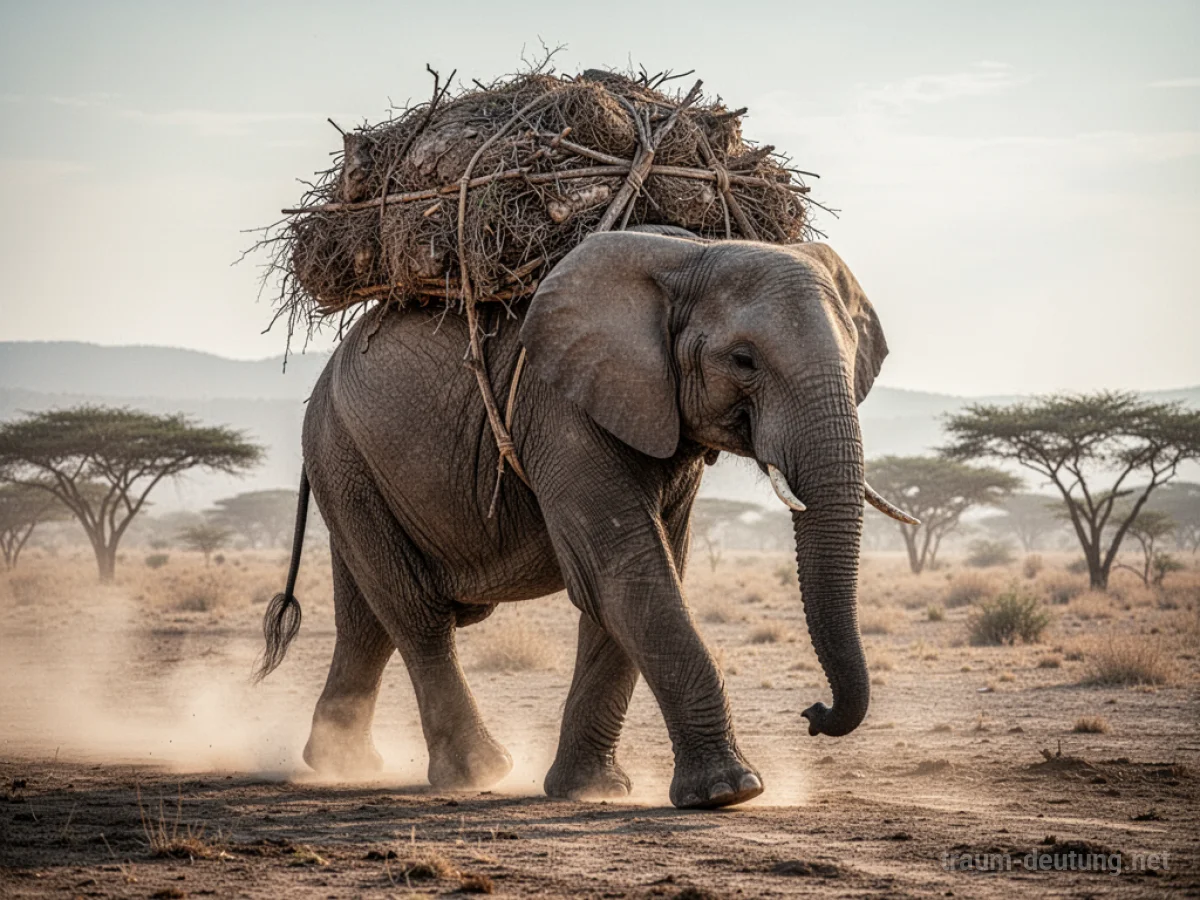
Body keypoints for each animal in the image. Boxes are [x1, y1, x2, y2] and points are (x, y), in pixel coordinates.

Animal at [257, 230, 915, 809]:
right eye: (743, 359)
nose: (813, 714)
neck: (693, 255)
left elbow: (638, 578)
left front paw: (590, 790)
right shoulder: (559, 406)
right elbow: (623, 572)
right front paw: (730, 793)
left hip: (350, 462)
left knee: (367, 618)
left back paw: (341, 763)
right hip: (343, 451)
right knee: (414, 613)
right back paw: (478, 771)